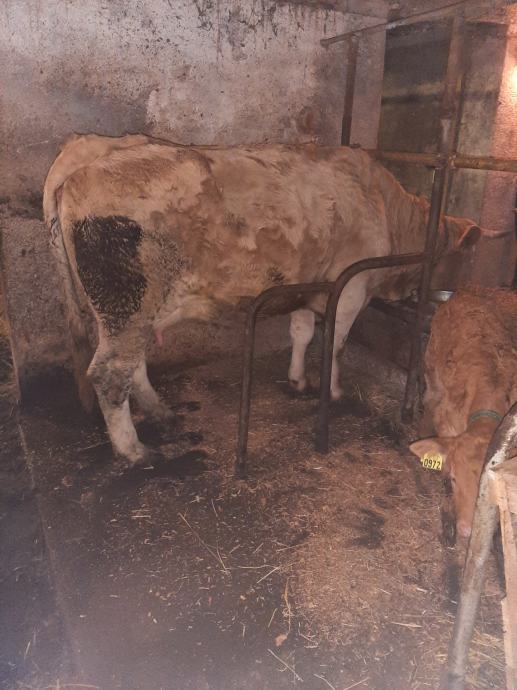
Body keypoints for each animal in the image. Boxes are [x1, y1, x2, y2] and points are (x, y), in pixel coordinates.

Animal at [43, 134, 507, 466]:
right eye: (461, 257)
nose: (438, 302)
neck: (383, 207)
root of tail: (93, 148)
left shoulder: (306, 284)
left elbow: (302, 333)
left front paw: (298, 379)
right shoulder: (351, 288)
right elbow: (335, 344)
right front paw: (333, 390)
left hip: (129, 311)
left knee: (132, 366)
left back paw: (162, 413)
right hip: (127, 304)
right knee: (109, 374)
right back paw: (135, 451)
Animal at [409, 289, 517, 541]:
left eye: (485, 489)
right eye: (455, 479)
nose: (466, 529)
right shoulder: (447, 421)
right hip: (431, 368)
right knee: (429, 400)